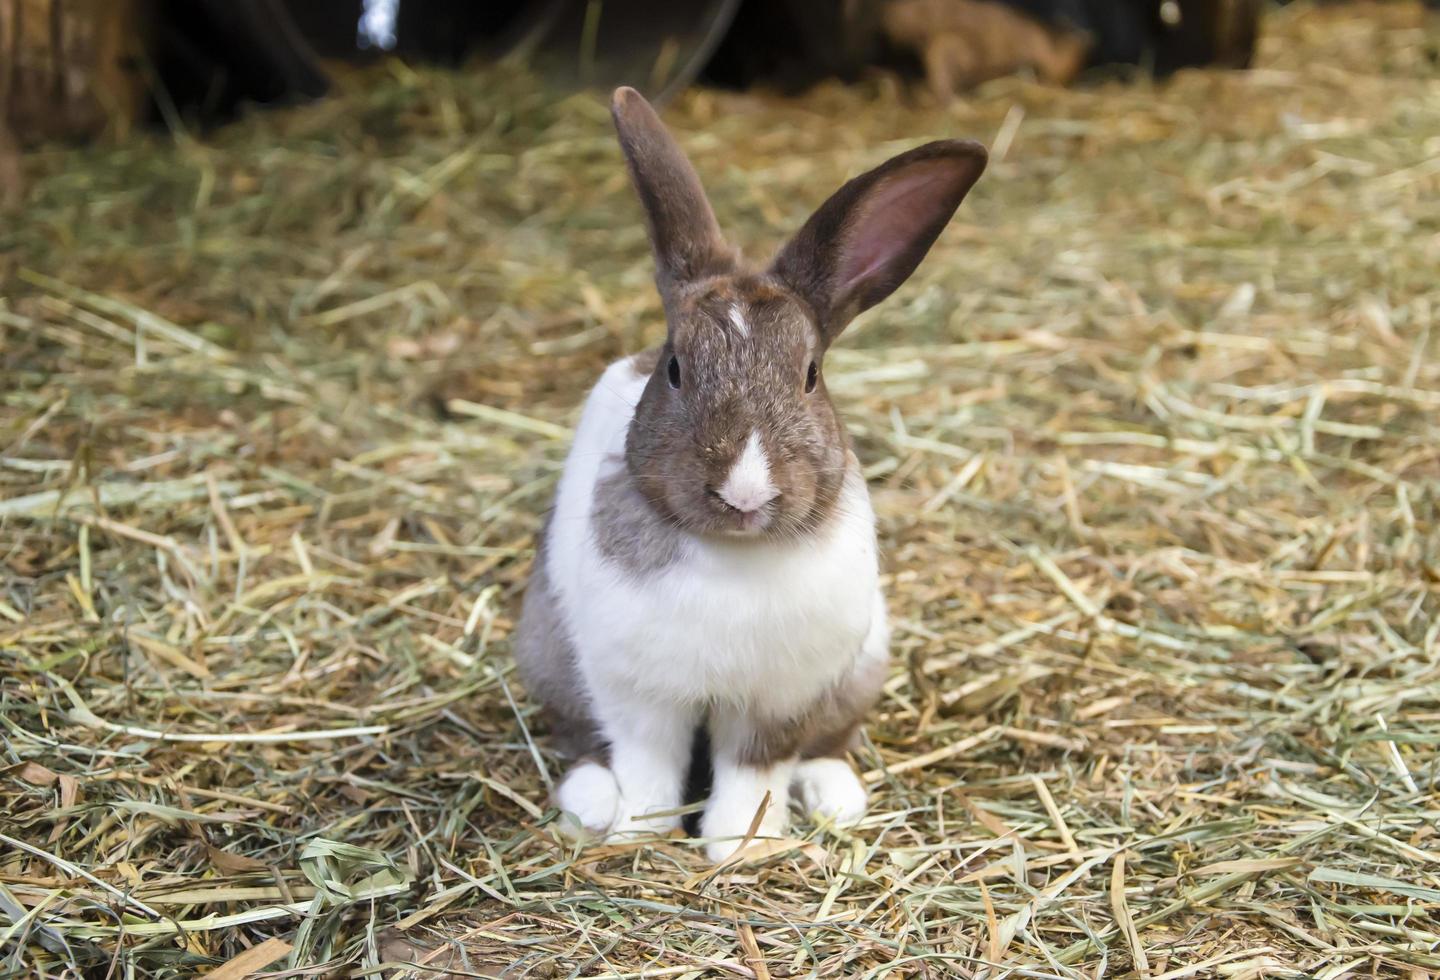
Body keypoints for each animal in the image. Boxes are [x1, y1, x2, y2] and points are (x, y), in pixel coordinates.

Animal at [509, 87, 990, 857]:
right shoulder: (638, 694)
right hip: (547, 654)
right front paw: (642, 835)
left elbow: (755, 769)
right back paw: (593, 806)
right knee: (579, 742)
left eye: (811, 375)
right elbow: (649, 763)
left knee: (828, 744)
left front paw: (741, 846)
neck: (734, 555)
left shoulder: (780, 700)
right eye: (676, 368)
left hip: (861, 670)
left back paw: (836, 799)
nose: (744, 492)